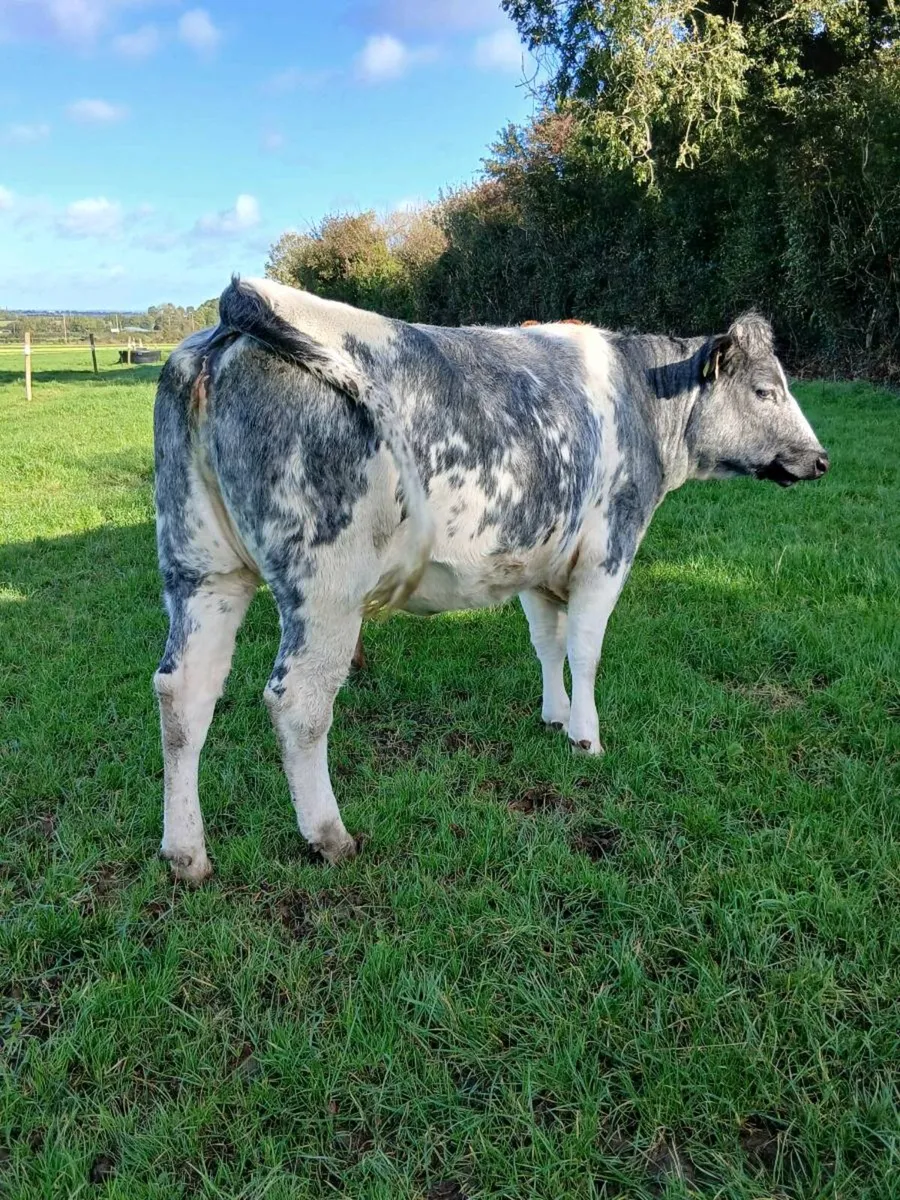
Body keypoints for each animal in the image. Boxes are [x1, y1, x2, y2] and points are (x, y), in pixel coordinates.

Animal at [153, 276, 828, 882]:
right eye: (766, 391)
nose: (821, 459)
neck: (644, 396)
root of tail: (237, 316)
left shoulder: (535, 561)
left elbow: (547, 644)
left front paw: (555, 716)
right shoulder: (610, 547)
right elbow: (585, 649)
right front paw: (587, 738)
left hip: (201, 568)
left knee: (183, 692)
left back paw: (186, 856)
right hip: (325, 589)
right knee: (298, 702)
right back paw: (330, 836)